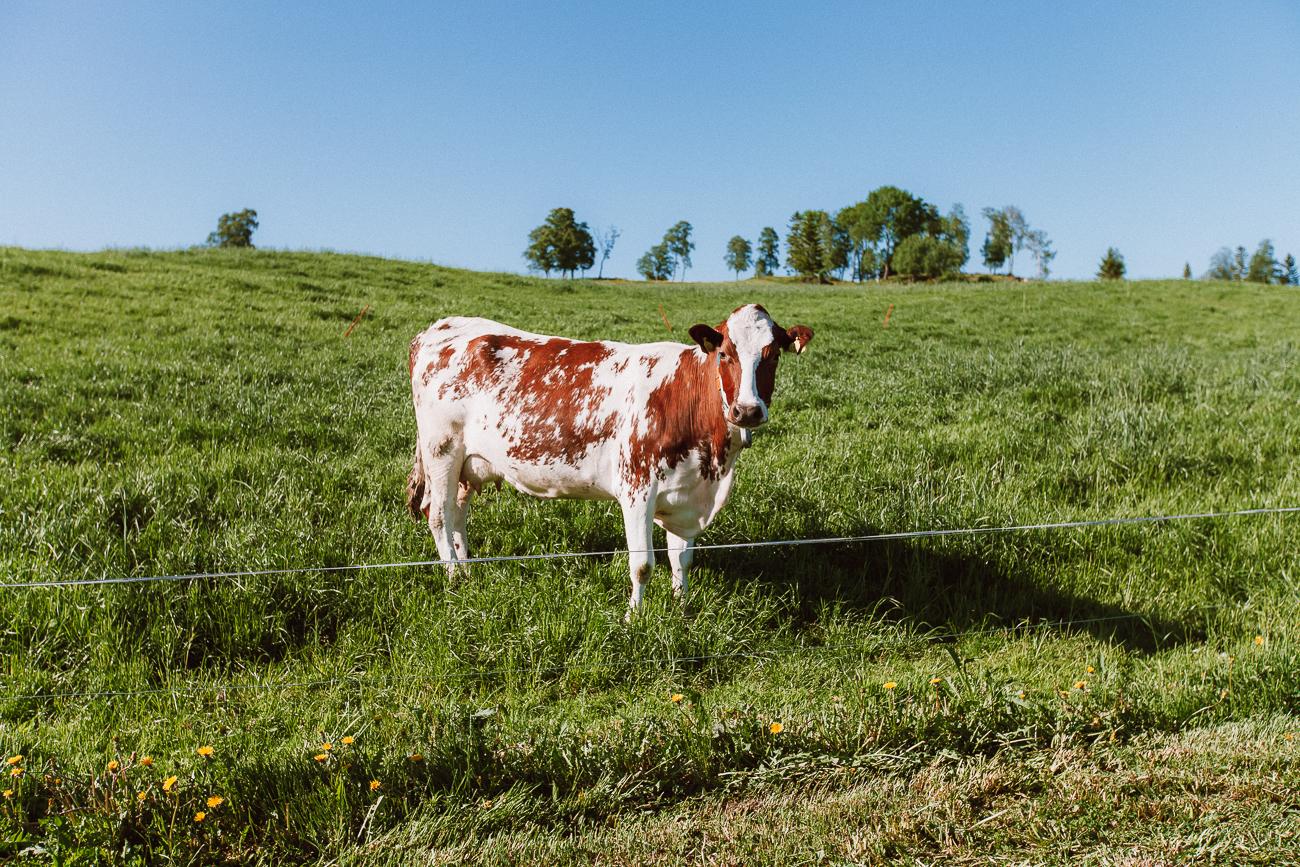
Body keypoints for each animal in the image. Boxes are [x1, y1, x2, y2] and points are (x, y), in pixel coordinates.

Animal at [405, 305, 811, 616]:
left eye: (773, 355)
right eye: (725, 354)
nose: (747, 411)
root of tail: (439, 327)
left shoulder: (686, 490)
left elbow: (681, 558)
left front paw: (682, 607)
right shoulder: (637, 488)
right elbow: (643, 564)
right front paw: (634, 618)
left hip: (468, 462)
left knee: (457, 512)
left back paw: (467, 571)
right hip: (441, 448)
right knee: (437, 513)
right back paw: (454, 578)